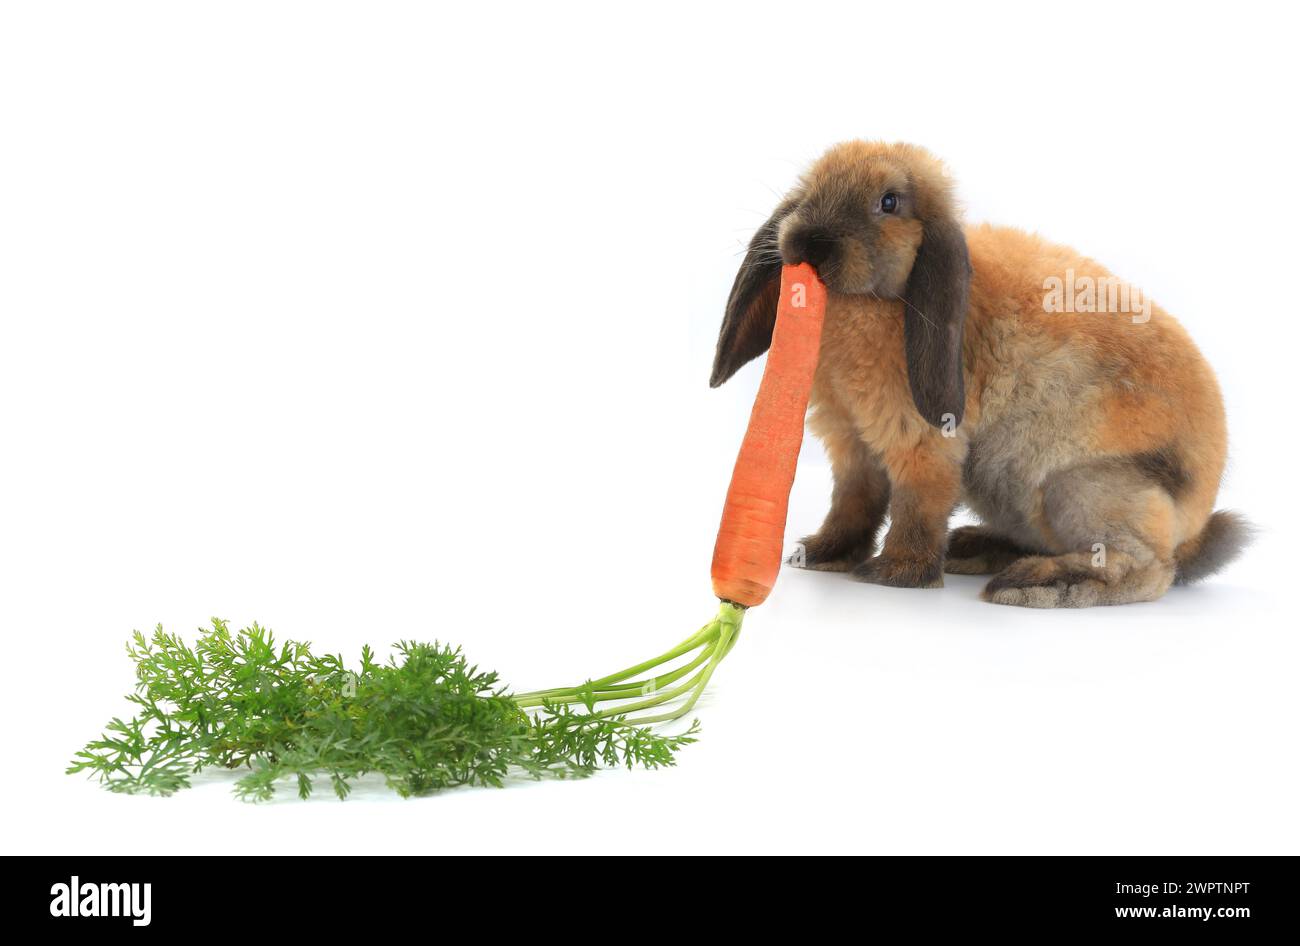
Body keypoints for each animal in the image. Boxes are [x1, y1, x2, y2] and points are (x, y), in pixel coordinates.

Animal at [710, 140, 1249, 608]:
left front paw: (894, 574)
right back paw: (973, 548)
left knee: (1147, 569)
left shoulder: (921, 440)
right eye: (807, 190)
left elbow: (918, 503)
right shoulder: (850, 441)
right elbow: (853, 500)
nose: (808, 243)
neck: (879, 303)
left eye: (889, 202)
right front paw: (821, 555)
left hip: (1079, 488)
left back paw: (1035, 584)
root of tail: (1194, 525)